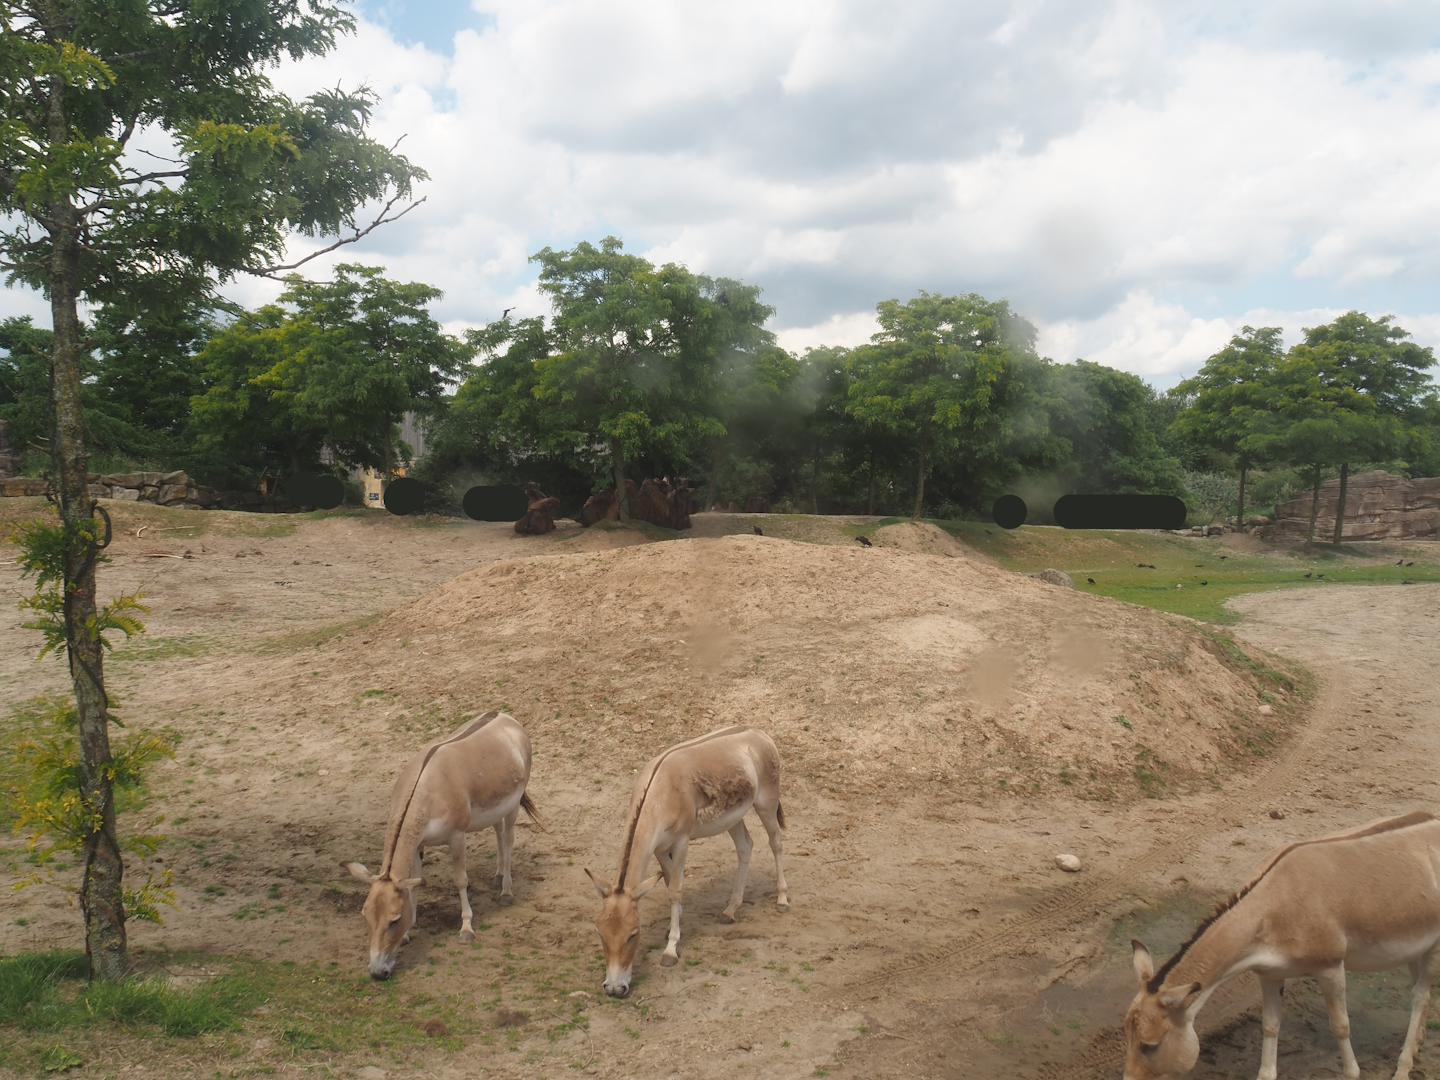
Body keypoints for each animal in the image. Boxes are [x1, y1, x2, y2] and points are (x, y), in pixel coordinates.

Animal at [343, 711, 540, 979]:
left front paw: (466, 929)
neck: (424, 791)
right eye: (366, 916)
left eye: (394, 920)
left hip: (513, 804)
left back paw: (506, 892)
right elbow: (414, 886)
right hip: (495, 805)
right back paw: (498, 876)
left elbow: (461, 881)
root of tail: (505, 716)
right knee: (498, 832)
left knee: (509, 839)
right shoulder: (417, 844)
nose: (377, 972)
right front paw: (408, 933)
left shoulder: (457, 837)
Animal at [584, 725, 789, 998]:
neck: (659, 792)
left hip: (766, 801)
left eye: (633, 934)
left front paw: (671, 949)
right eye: (600, 932)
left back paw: (782, 899)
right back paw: (731, 910)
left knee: (775, 842)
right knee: (745, 847)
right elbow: (669, 880)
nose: (615, 988)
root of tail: (757, 732)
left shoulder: (681, 841)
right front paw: (675, 924)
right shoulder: (660, 848)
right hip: (732, 817)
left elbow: (675, 889)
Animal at [1123, 811, 1440, 1080]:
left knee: (1421, 995)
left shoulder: (1330, 968)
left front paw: (1353, 1073)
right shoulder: (1269, 974)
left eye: (1150, 1045)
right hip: (1416, 944)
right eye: (1126, 1034)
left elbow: (1340, 1026)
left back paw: (1403, 1068)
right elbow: (1270, 1026)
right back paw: (1417, 1045)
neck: (1273, 906)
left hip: (1434, 945)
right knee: (1418, 990)